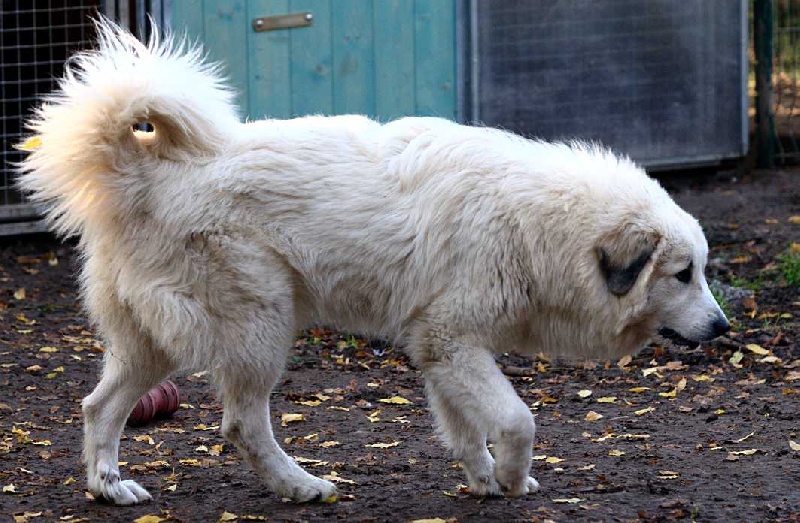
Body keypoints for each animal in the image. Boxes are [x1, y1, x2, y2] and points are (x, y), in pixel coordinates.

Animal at [17, 18, 729, 505]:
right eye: (683, 274)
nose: (724, 329)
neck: (541, 222)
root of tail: (147, 171)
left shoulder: (441, 350)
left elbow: (466, 427)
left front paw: (483, 479)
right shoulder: (452, 340)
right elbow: (517, 420)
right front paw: (511, 475)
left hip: (154, 341)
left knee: (98, 407)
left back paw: (110, 488)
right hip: (259, 326)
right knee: (242, 424)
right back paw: (300, 487)